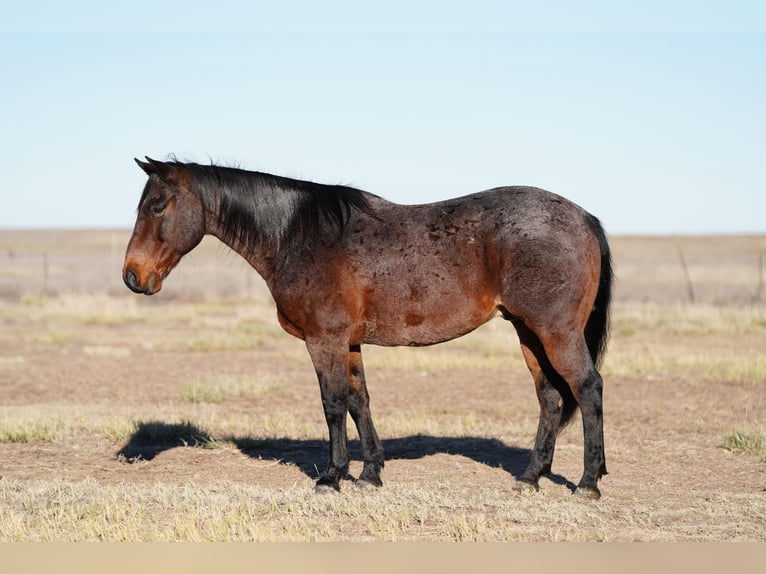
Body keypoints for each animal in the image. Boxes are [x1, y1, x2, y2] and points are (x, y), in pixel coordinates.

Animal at [123, 156, 616, 500]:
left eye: (157, 206)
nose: (132, 276)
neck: (298, 235)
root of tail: (583, 217)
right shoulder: (349, 343)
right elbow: (360, 403)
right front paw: (370, 474)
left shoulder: (324, 340)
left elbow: (333, 405)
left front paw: (331, 477)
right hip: (528, 332)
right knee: (550, 397)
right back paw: (530, 478)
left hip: (555, 332)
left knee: (588, 387)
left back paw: (588, 483)